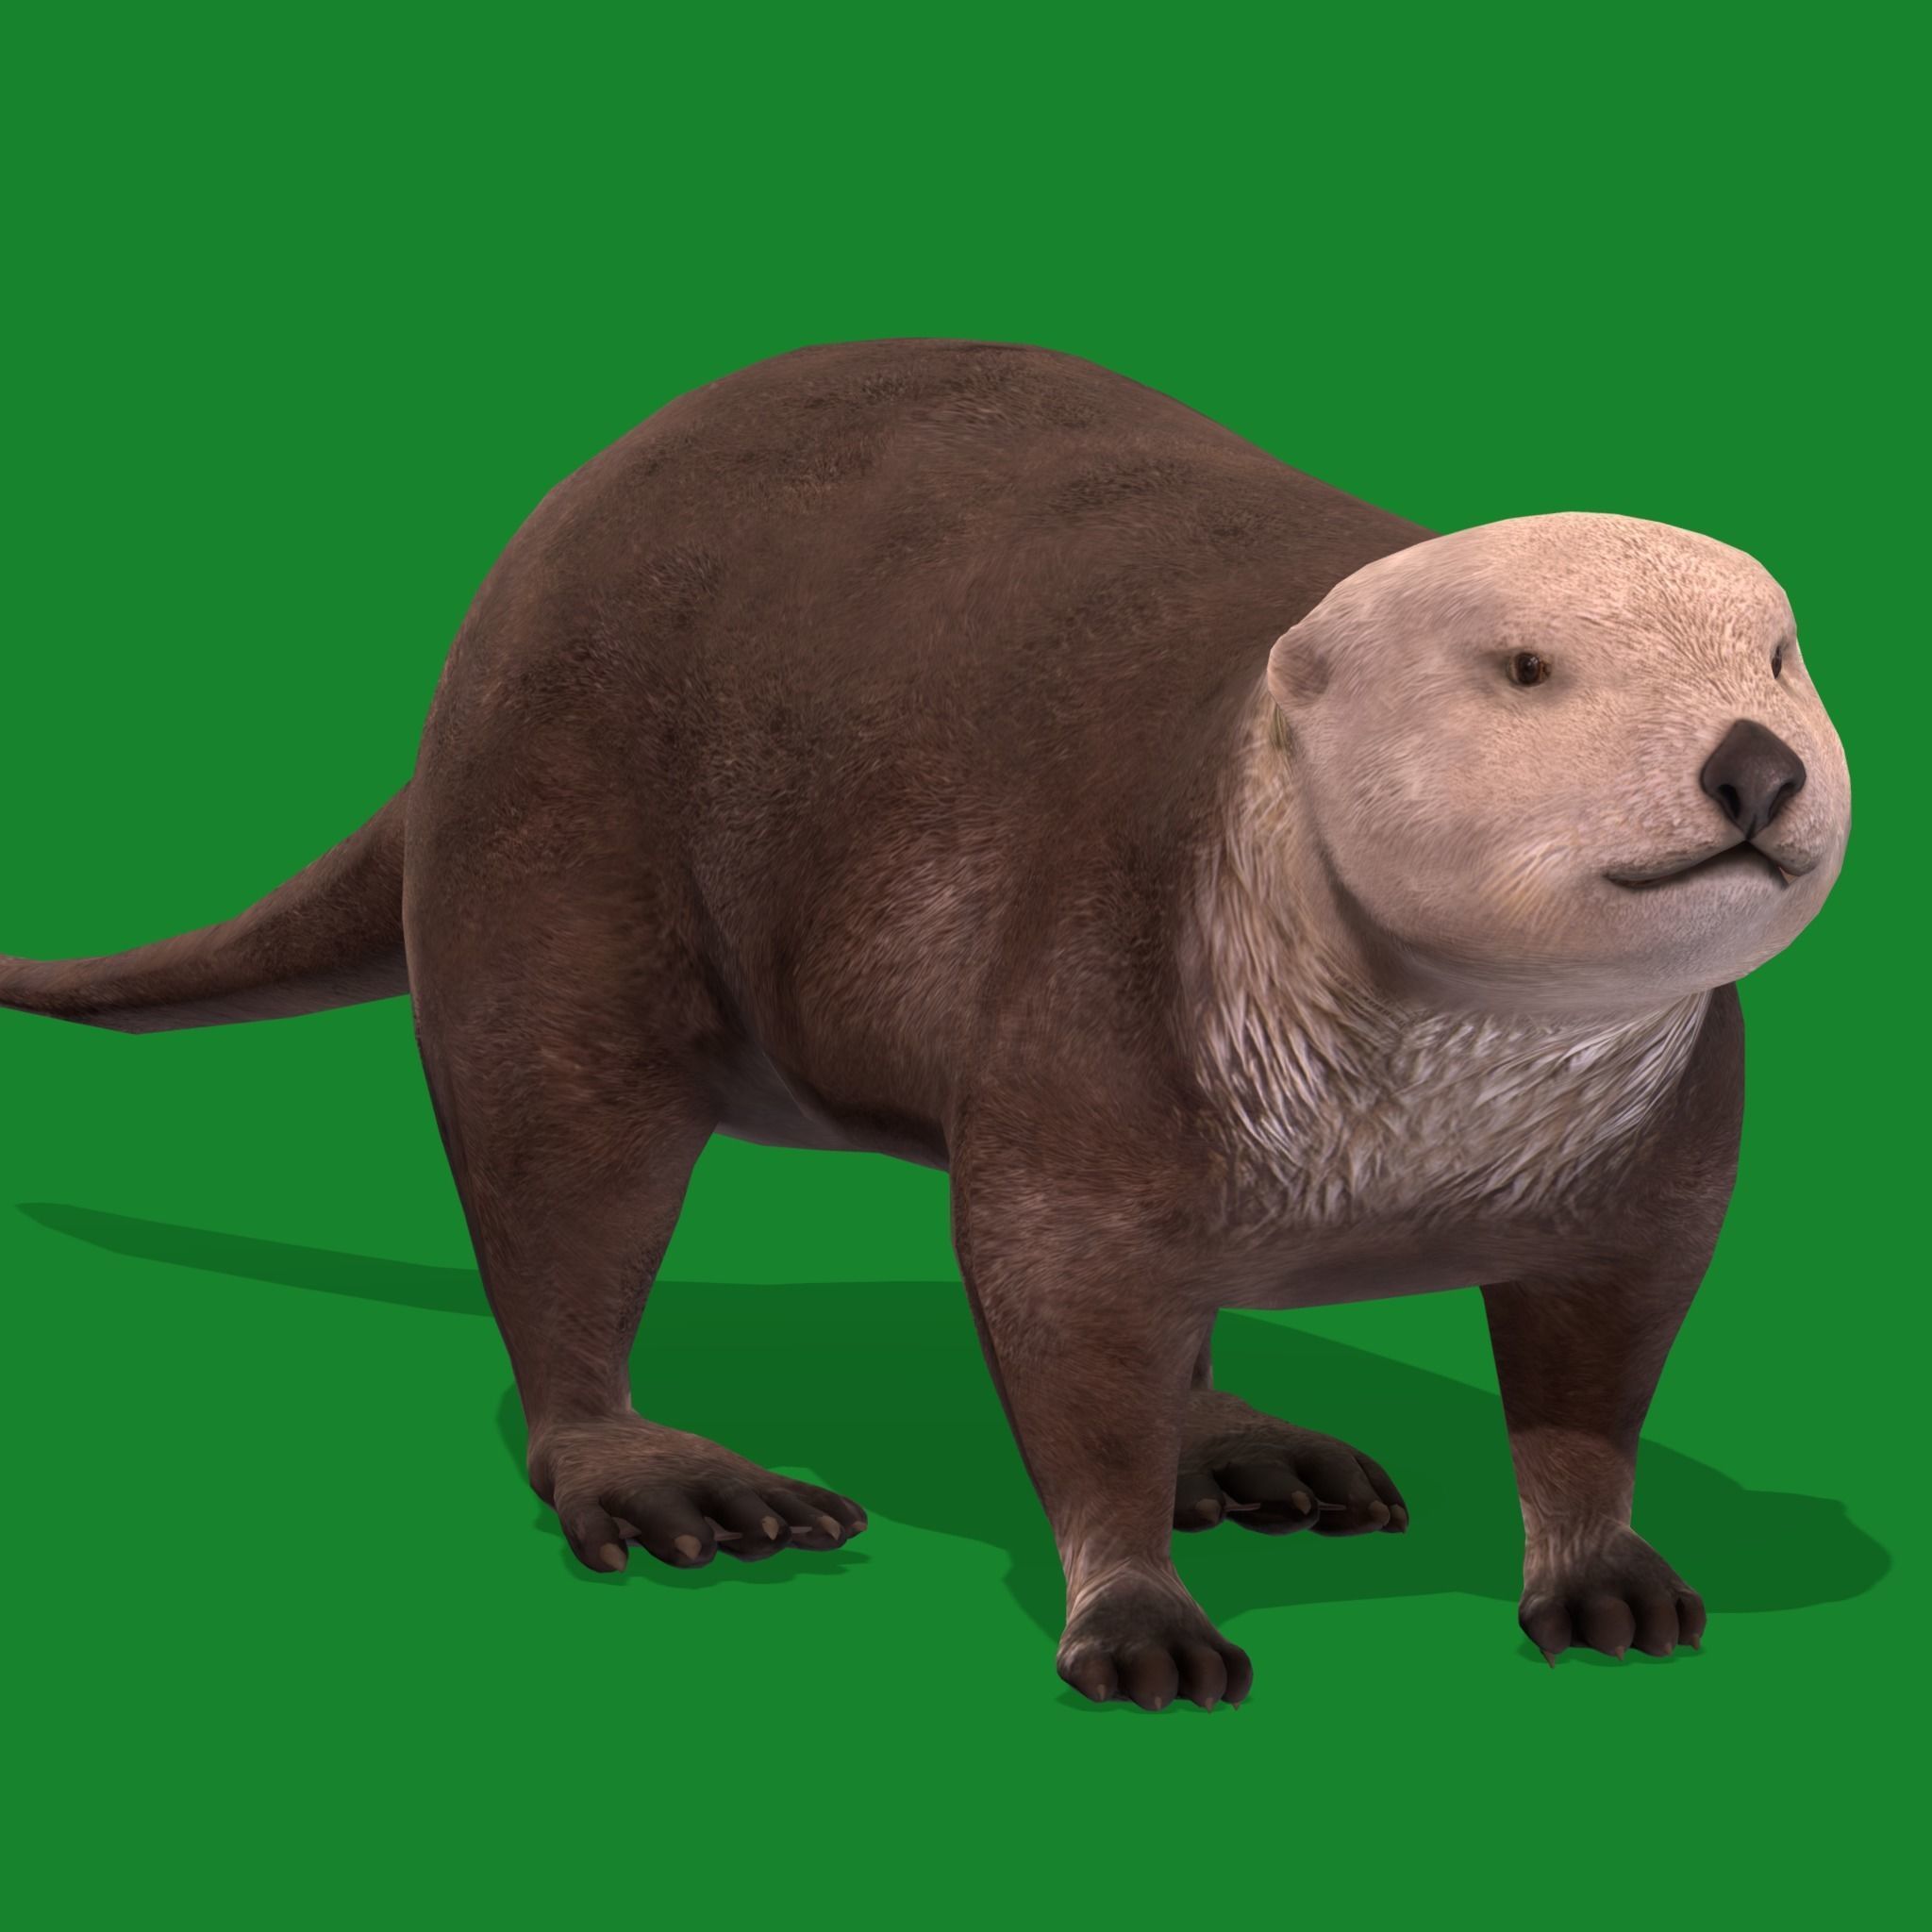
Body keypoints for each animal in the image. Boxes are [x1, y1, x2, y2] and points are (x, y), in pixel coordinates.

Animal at [0, 339, 1851, 1710]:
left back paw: (1249, 1447)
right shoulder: (1095, 1001)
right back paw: (671, 1479)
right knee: (554, 1198)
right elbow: (1060, 1331)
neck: (1413, 1143)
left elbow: (1592, 1376)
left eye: (1776, 652)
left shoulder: (1660, 1159)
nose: (1754, 762)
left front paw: (1606, 1573)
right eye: (1526, 667)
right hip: (548, 866)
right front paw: (1135, 1621)